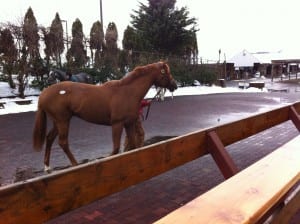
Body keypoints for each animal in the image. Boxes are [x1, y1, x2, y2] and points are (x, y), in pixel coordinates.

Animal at [32, 61, 178, 172]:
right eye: (167, 72)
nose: (174, 85)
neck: (127, 91)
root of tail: (44, 93)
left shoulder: (129, 123)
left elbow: (132, 145)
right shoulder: (117, 124)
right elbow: (115, 149)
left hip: (58, 121)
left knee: (49, 138)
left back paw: (47, 166)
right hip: (63, 121)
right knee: (63, 142)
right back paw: (75, 165)